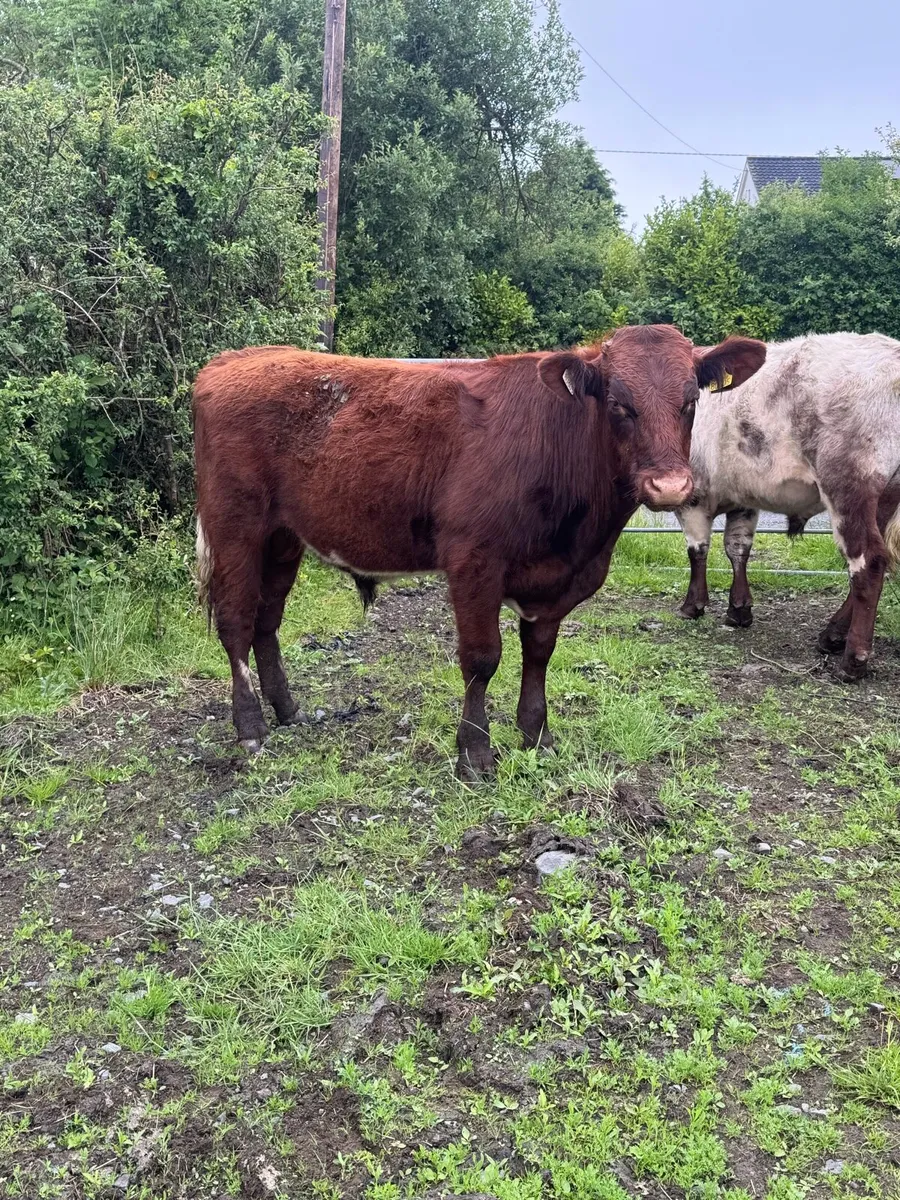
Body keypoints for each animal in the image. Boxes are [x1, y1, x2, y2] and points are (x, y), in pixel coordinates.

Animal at [193, 326, 766, 777]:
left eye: (690, 401)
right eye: (618, 403)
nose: (669, 486)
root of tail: (234, 359)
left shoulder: (556, 580)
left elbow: (539, 653)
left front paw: (537, 736)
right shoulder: (473, 561)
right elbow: (482, 658)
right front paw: (474, 752)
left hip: (283, 538)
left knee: (267, 621)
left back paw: (287, 709)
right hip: (235, 527)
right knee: (237, 622)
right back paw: (251, 726)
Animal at [676, 331, 900, 680]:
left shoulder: (694, 495)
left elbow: (697, 549)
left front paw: (693, 605)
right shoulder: (743, 498)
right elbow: (737, 549)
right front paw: (739, 609)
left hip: (849, 488)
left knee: (868, 562)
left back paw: (853, 660)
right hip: (886, 498)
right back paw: (832, 635)